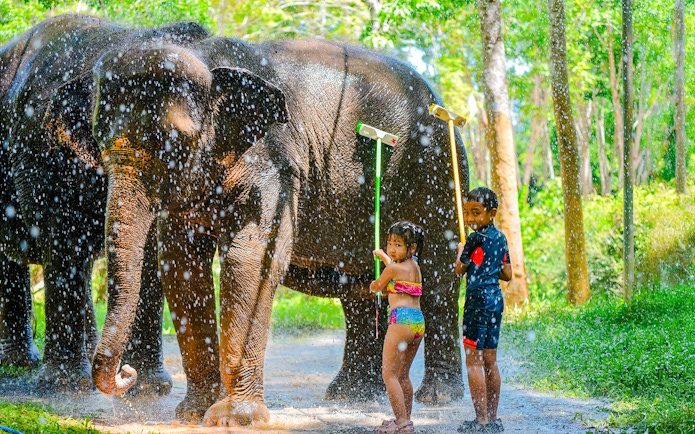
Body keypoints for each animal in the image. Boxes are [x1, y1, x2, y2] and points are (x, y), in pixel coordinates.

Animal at [0, 14, 288, 393]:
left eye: (177, 145)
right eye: (99, 138)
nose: (124, 373)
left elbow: (151, 255)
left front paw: (150, 387)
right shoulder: (48, 155)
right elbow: (65, 242)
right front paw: (64, 386)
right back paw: (26, 365)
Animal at [90, 36, 469, 426]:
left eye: (174, 141)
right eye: (97, 138)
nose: (126, 373)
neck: (208, 58)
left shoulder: (274, 163)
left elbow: (251, 261)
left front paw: (234, 419)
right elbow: (182, 267)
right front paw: (193, 414)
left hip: (436, 169)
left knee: (437, 278)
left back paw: (437, 397)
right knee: (361, 285)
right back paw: (352, 395)